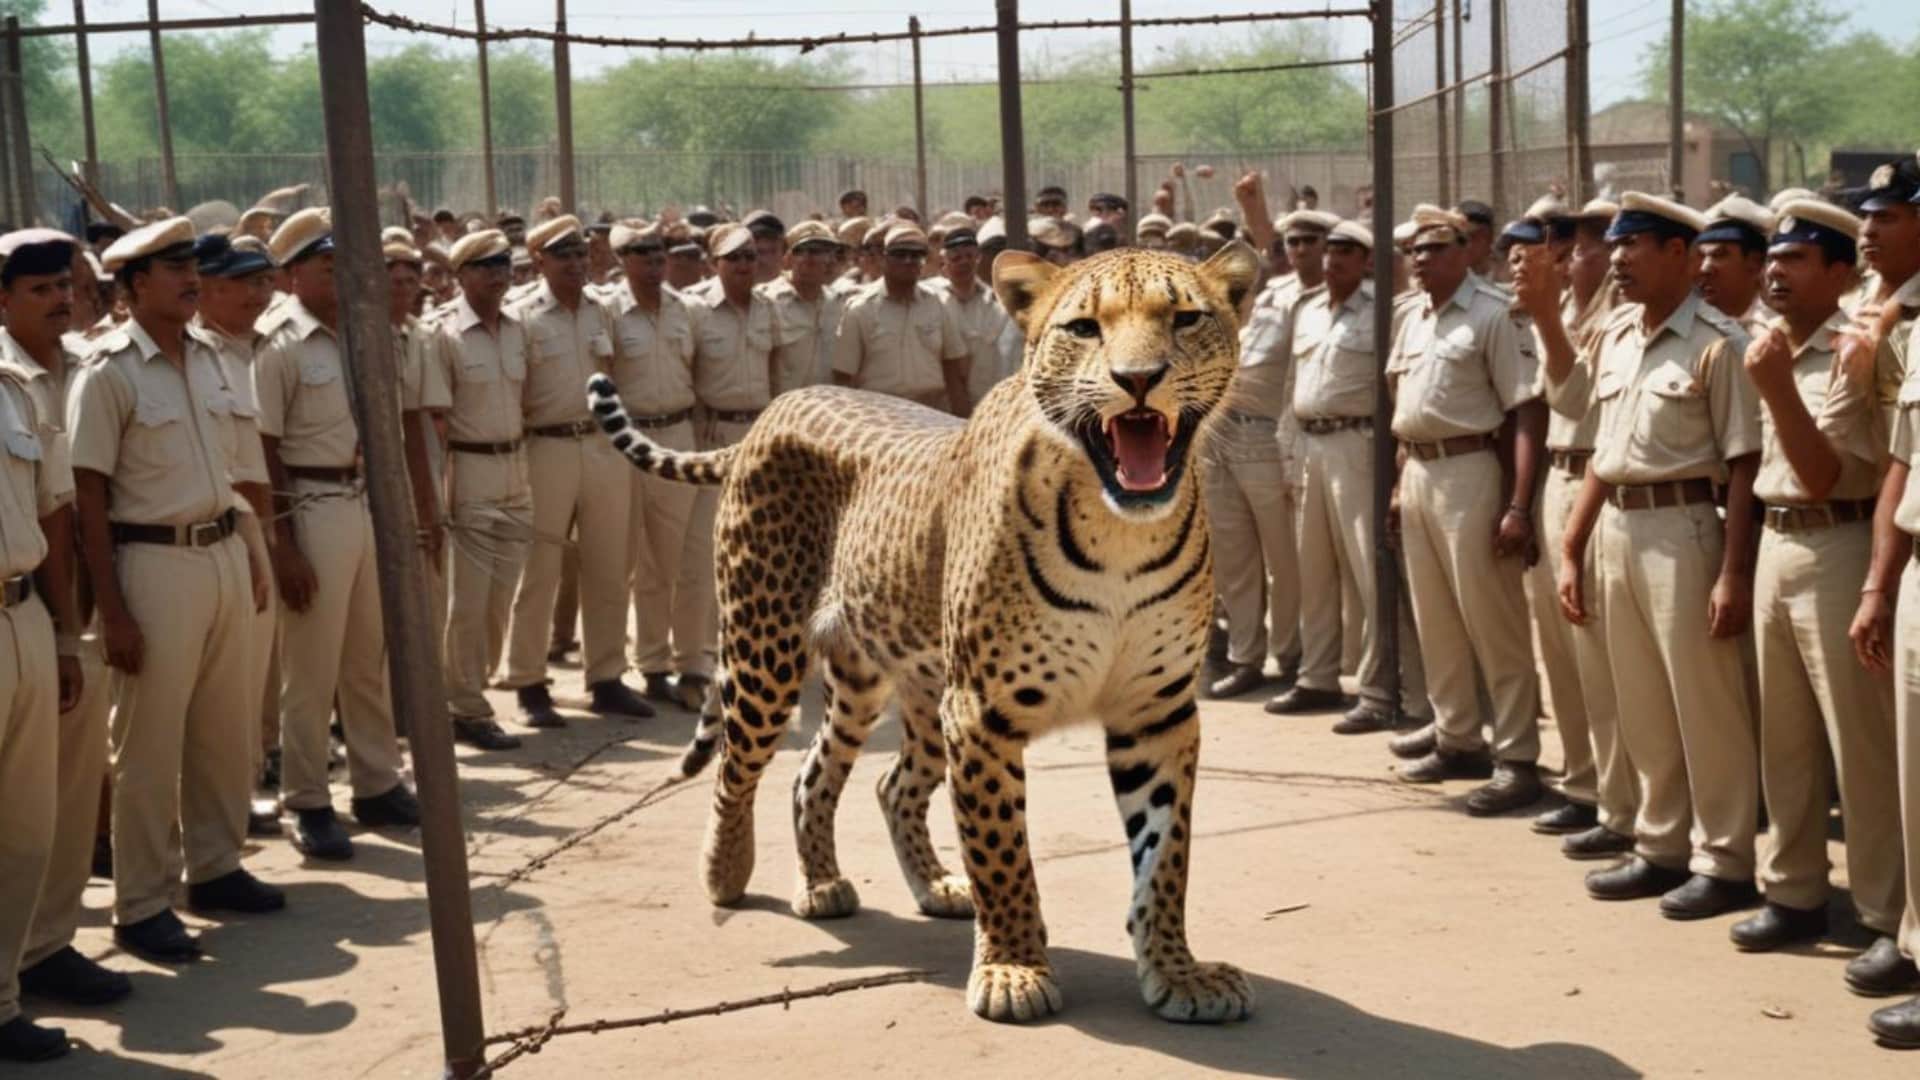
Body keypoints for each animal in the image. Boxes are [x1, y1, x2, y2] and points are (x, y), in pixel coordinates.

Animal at [585, 241, 1260, 1025]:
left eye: (1185, 318)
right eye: (1085, 328)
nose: (1139, 380)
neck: (1118, 527)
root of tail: (770, 412)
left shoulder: (1156, 712)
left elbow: (1165, 855)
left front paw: (1178, 972)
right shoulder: (982, 713)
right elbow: (1003, 851)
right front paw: (1014, 970)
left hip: (885, 681)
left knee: (848, 777)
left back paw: (877, 884)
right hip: (766, 648)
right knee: (737, 763)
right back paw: (727, 872)